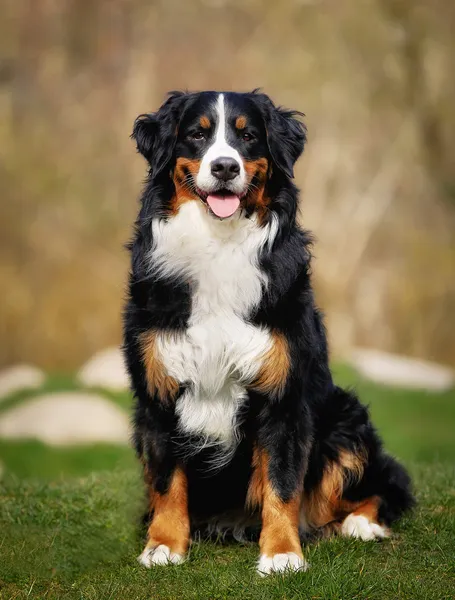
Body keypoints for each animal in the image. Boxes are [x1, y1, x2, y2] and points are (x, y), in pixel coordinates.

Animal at [123, 90, 416, 576]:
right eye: (197, 134)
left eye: (248, 136)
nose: (225, 167)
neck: (219, 244)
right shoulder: (157, 392)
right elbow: (166, 480)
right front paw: (163, 545)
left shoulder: (285, 394)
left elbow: (282, 481)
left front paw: (281, 553)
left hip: (345, 420)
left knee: (382, 487)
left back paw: (360, 524)